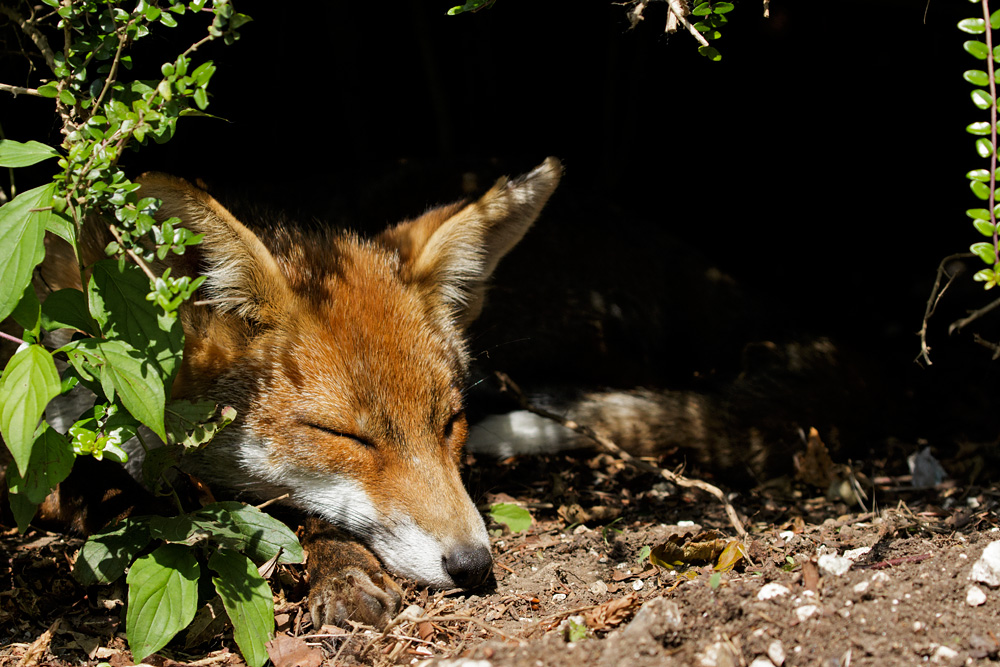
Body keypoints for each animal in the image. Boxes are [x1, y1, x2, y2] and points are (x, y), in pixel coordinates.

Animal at [11, 157, 563, 629]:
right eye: (342, 435)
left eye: (449, 423)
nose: (473, 564)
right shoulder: (44, 470)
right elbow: (179, 511)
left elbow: (307, 515)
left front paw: (341, 569)